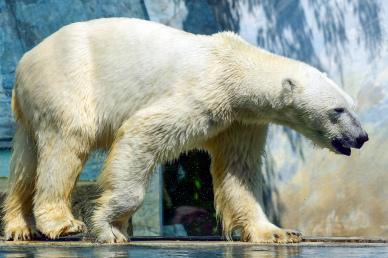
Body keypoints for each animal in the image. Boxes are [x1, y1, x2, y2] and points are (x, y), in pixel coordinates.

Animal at [3, 17, 366, 242]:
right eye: (338, 110)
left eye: (353, 106)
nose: (361, 137)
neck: (234, 66)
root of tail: (23, 62)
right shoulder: (203, 95)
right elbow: (144, 132)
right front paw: (110, 227)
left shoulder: (242, 121)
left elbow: (238, 171)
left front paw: (278, 232)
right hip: (68, 80)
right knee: (67, 143)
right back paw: (62, 223)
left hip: (35, 104)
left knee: (27, 160)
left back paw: (20, 227)